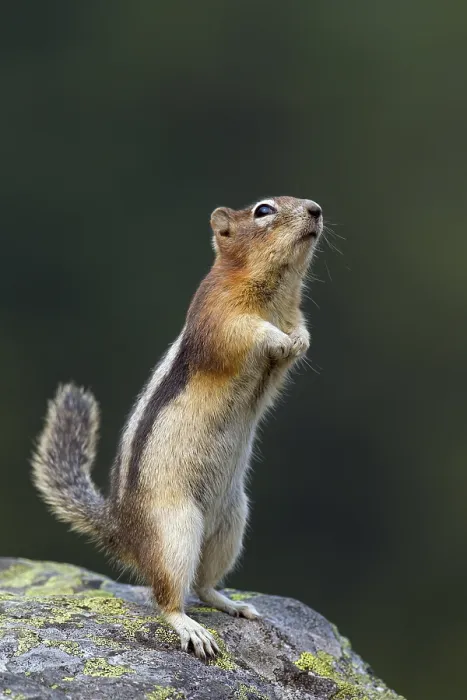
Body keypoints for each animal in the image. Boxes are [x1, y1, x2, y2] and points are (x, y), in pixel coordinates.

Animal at [31, 195, 323, 659]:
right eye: (263, 210)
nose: (315, 209)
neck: (275, 290)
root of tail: (123, 532)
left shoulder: (291, 317)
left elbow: (298, 337)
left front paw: (299, 340)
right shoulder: (218, 316)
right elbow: (246, 333)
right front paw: (277, 337)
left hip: (231, 522)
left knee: (203, 585)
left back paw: (232, 604)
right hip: (174, 530)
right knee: (166, 595)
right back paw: (189, 628)